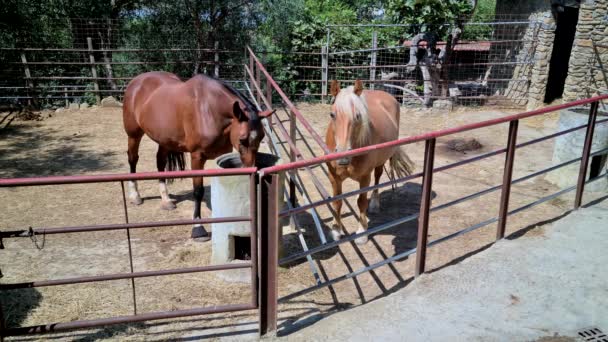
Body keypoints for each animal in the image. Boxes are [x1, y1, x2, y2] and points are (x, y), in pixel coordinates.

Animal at [123, 71, 274, 240]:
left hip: (164, 139)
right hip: (133, 135)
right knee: (133, 159)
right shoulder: (197, 157)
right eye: (242, 139)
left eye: (261, 137)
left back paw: (166, 200)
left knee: (160, 162)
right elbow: (198, 191)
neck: (209, 109)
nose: (251, 170)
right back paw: (135, 195)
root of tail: (137, 81)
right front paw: (198, 228)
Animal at [328, 80, 414, 244]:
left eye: (357, 116)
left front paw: (362, 232)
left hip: (380, 163)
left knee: (377, 179)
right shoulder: (334, 177)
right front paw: (336, 230)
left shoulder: (364, 178)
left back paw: (374, 203)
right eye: (332, 114)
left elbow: (361, 202)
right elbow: (337, 202)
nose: (343, 157)